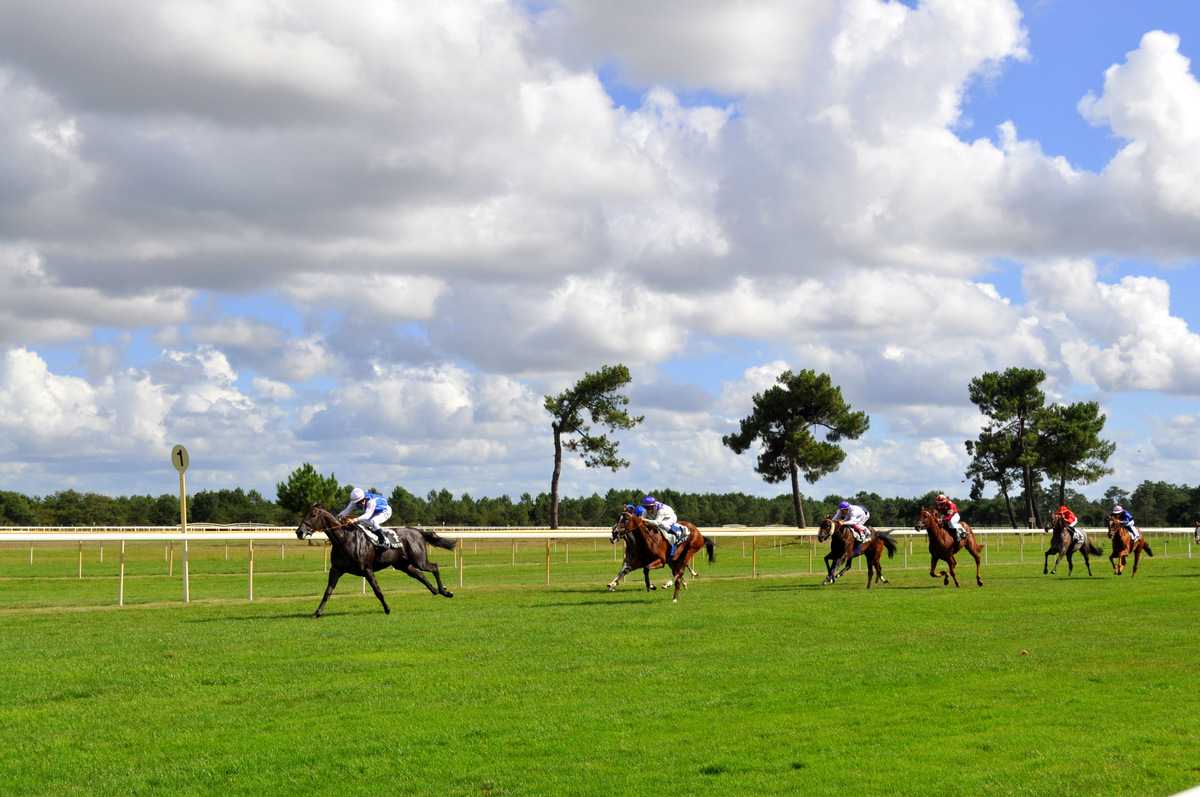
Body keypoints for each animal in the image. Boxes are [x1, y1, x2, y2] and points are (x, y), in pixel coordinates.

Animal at [294, 501, 453, 619]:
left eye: (313, 515)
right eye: (306, 513)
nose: (299, 532)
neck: (344, 539)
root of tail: (418, 531)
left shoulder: (367, 569)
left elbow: (378, 591)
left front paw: (387, 609)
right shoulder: (336, 569)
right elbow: (327, 592)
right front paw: (316, 613)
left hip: (419, 560)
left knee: (434, 567)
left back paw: (444, 591)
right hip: (404, 565)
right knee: (421, 576)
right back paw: (436, 591)